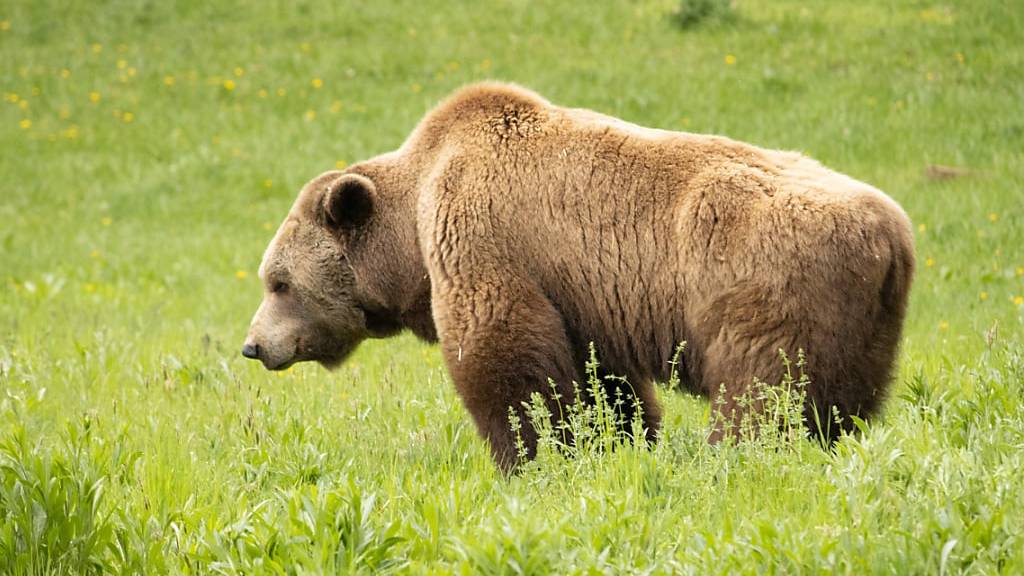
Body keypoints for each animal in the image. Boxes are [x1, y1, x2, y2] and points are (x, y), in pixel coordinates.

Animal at [243, 80, 917, 471]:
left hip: (765, 283)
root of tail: (892, 235)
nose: (253, 345)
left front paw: (530, 456)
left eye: (278, 282)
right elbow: (601, 379)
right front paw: (616, 442)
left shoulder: (484, 235)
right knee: (841, 402)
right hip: (864, 326)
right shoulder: (585, 294)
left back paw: (737, 458)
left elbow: (504, 355)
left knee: (763, 391)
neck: (409, 231)